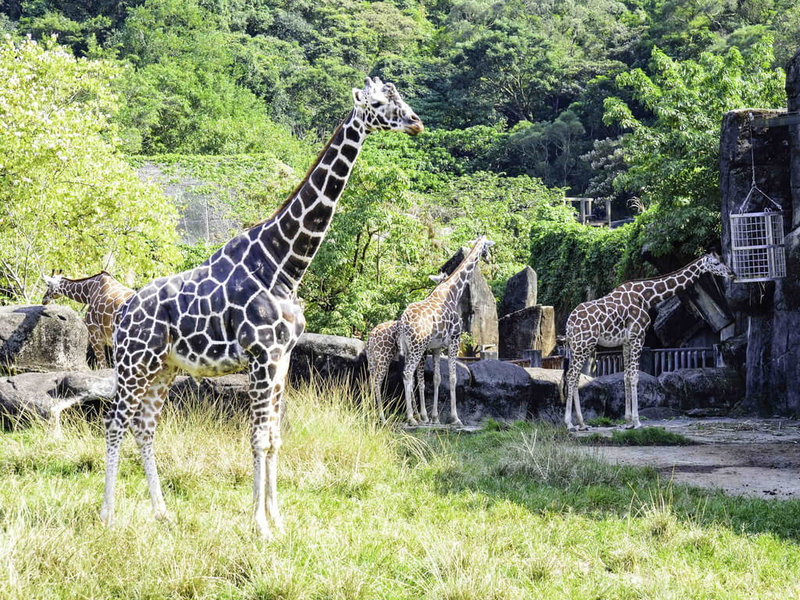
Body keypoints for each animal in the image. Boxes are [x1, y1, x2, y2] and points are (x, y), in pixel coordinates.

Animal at [368, 272, 446, 422]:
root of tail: (371, 337)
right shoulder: (422, 354)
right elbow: (419, 381)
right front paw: (423, 416)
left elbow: (413, 381)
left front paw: (417, 415)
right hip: (383, 359)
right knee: (377, 382)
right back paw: (382, 417)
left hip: (372, 360)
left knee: (370, 381)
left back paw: (370, 413)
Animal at [396, 236, 490, 426]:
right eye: (487, 246)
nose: (489, 258)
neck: (453, 292)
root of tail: (402, 322)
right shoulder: (455, 339)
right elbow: (453, 378)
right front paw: (455, 418)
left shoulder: (437, 347)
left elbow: (437, 378)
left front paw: (435, 418)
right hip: (417, 348)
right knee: (408, 374)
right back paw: (412, 418)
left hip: (410, 349)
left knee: (410, 376)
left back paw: (416, 416)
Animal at [560, 253, 736, 432]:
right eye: (716, 263)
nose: (732, 274)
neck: (647, 296)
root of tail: (569, 324)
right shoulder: (638, 336)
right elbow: (634, 376)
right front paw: (637, 422)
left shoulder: (626, 341)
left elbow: (626, 376)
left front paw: (628, 422)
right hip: (583, 344)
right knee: (572, 375)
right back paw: (569, 424)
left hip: (578, 346)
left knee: (574, 377)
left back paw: (582, 424)